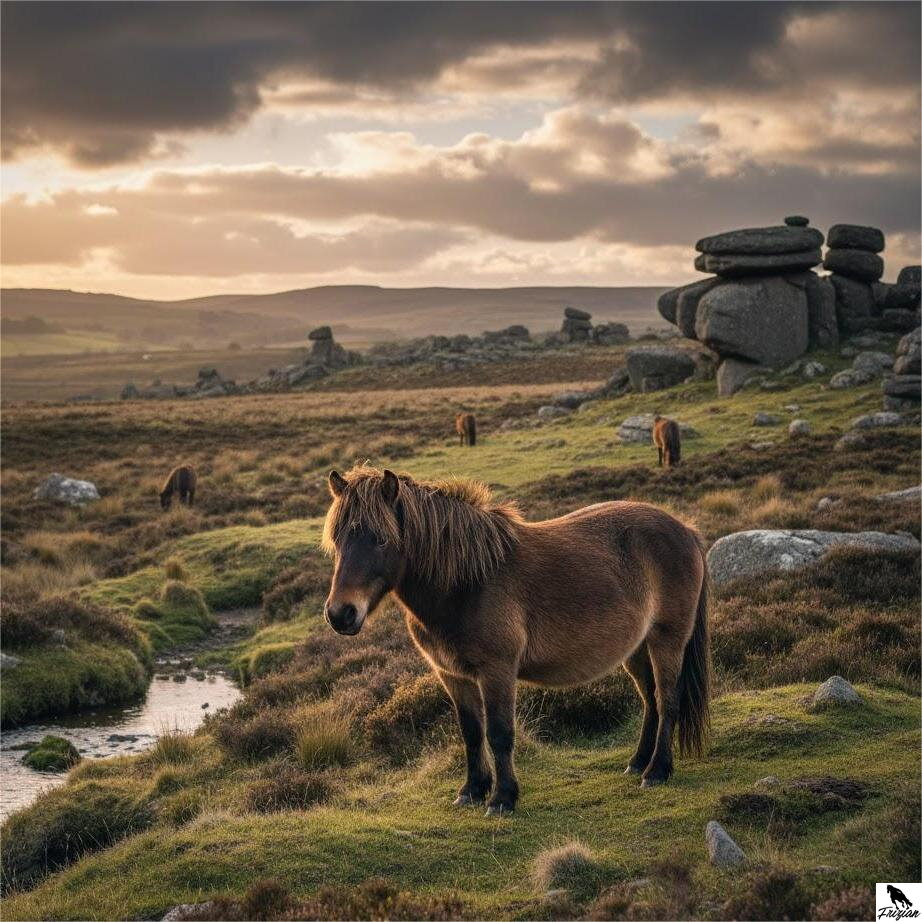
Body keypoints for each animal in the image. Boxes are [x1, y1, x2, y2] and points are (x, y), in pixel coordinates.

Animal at [322, 465, 710, 815]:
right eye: (337, 541)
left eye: (380, 539)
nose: (341, 614)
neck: (467, 583)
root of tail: (686, 529)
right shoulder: (453, 675)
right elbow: (471, 732)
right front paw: (472, 790)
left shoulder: (497, 671)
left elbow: (499, 733)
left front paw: (502, 798)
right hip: (636, 649)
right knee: (650, 700)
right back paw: (637, 762)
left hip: (667, 640)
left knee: (668, 700)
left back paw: (657, 770)